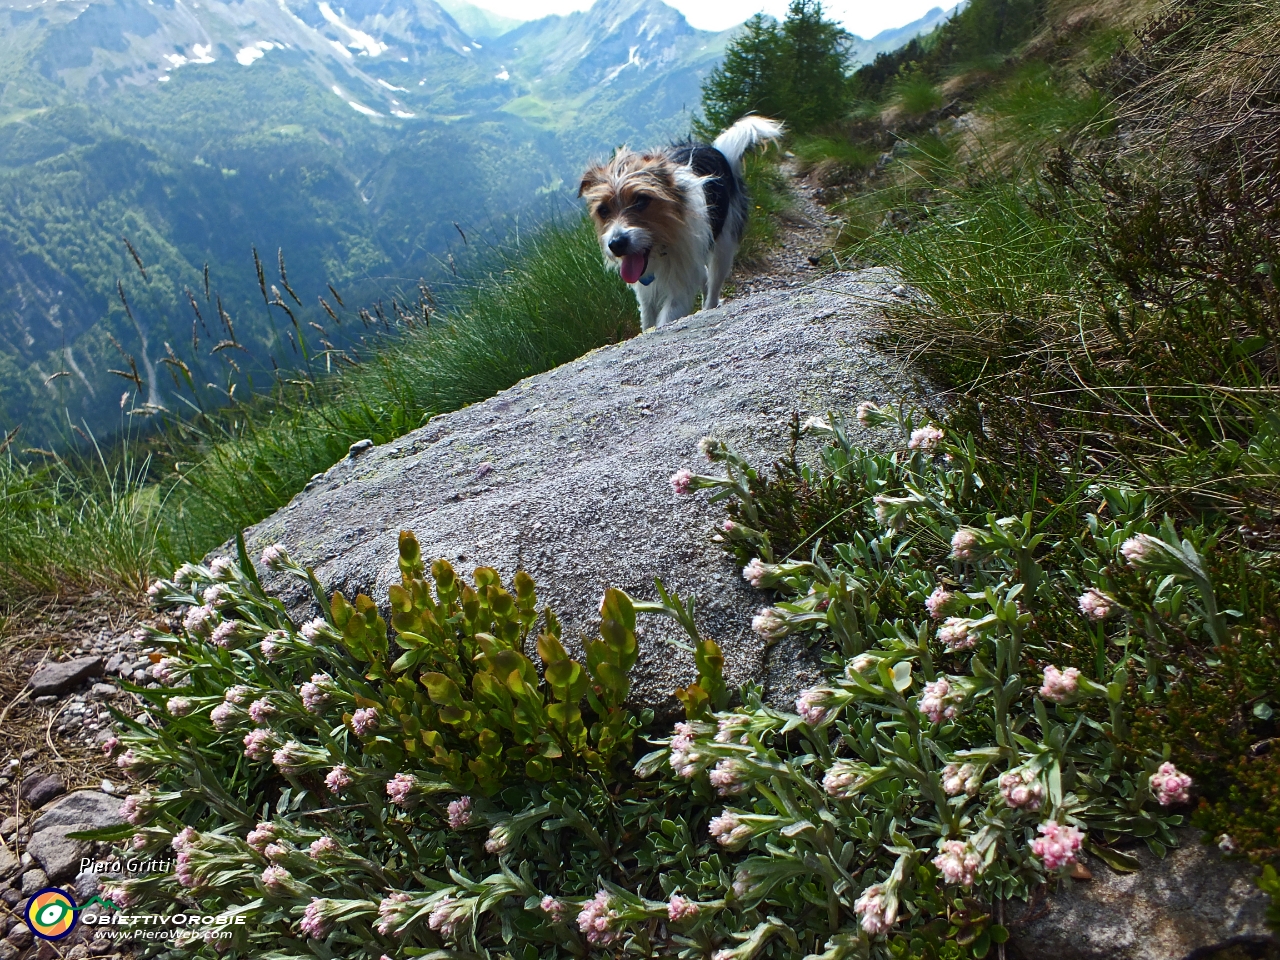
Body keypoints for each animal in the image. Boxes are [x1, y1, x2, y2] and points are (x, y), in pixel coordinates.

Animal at [578, 115, 778, 332]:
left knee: (714, 282)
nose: (616, 244)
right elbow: (648, 319)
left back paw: (709, 306)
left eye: (641, 200)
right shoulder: (646, 291)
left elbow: (668, 316)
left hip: (725, 242)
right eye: (603, 210)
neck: (661, 247)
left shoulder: (680, 285)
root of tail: (718, 152)